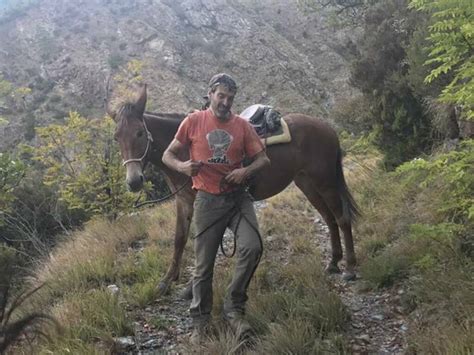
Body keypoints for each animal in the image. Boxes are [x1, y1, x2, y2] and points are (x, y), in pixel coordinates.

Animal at [112, 85, 360, 294]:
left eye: (140, 133)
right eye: (116, 137)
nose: (134, 181)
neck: (185, 150)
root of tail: (327, 127)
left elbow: (204, 243)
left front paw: (191, 286)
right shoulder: (183, 201)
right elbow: (179, 239)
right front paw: (167, 281)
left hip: (325, 182)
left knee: (342, 218)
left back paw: (349, 268)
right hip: (307, 184)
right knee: (329, 218)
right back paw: (333, 263)